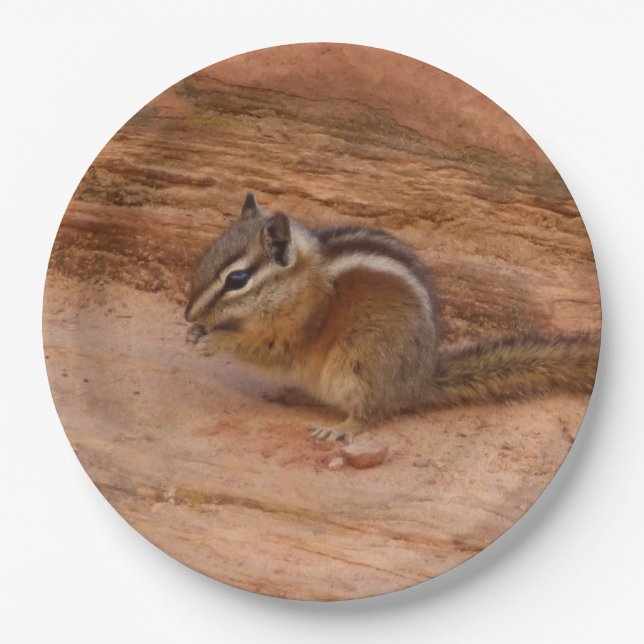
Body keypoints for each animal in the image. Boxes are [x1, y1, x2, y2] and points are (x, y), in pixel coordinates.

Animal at [185, 193, 599, 442]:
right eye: (206, 256)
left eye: (237, 279)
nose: (188, 313)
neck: (300, 280)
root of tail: (417, 381)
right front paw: (194, 333)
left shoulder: (299, 326)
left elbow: (267, 349)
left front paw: (214, 339)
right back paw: (289, 392)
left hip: (360, 361)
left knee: (369, 414)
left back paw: (341, 429)